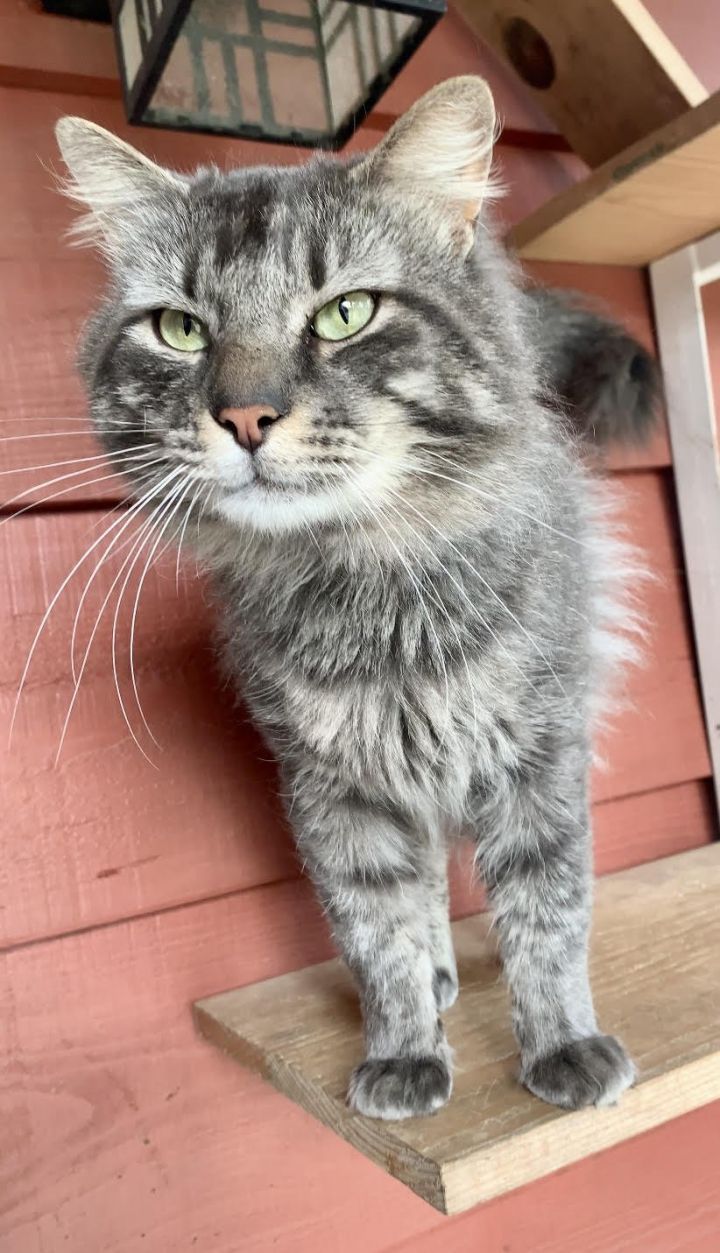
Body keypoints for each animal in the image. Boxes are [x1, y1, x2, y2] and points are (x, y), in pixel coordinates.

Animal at [53, 78, 656, 1117]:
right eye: (181, 329)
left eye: (345, 314)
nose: (243, 416)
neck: (364, 581)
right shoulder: (335, 786)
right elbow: (378, 928)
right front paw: (406, 1049)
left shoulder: (537, 751)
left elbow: (546, 911)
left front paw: (563, 1044)